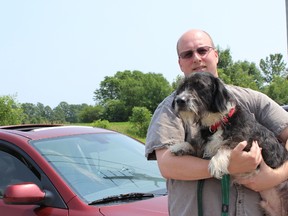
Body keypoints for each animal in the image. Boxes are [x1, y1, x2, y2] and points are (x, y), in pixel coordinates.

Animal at [170, 71, 288, 215]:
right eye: (182, 87)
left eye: (200, 86)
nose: (179, 100)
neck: (216, 123)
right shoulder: (204, 148)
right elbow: (194, 144)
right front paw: (180, 146)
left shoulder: (250, 144)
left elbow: (227, 145)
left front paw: (216, 162)